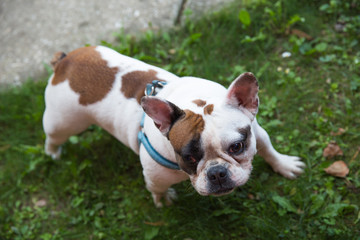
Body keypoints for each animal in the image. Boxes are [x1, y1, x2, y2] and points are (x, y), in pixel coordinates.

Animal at [43, 46, 306, 207]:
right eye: (189, 157)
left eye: (237, 147)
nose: (217, 173)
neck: (193, 101)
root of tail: (64, 63)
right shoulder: (154, 175)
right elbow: (156, 189)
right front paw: (164, 200)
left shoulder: (257, 132)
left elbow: (268, 149)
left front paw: (285, 165)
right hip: (62, 122)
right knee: (53, 138)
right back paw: (53, 153)